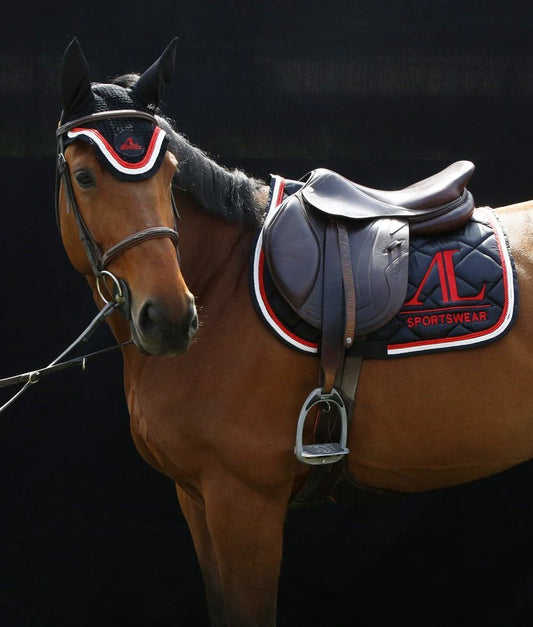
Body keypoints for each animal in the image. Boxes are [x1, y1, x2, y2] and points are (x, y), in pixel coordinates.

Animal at [54, 36, 532, 624]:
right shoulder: (196, 498)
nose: (169, 317)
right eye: (85, 177)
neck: (224, 280)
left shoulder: (243, 502)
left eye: (169, 173)